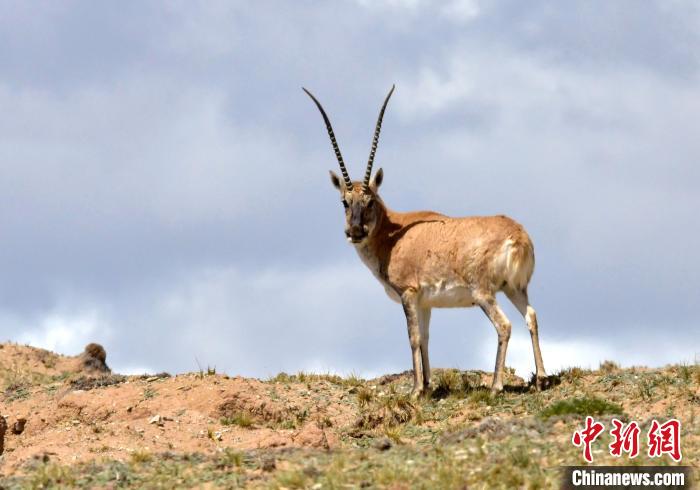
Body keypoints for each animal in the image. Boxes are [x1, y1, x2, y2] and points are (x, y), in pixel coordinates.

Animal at [302, 84, 548, 398]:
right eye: (345, 202)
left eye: (370, 201)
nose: (355, 232)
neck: (392, 234)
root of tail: (517, 234)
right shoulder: (426, 302)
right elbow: (427, 337)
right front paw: (429, 386)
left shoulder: (408, 293)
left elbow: (414, 337)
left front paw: (417, 389)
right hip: (514, 289)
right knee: (531, 316)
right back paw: (541, 379)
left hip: (484, 293)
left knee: (504, 326)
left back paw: (495, 387)